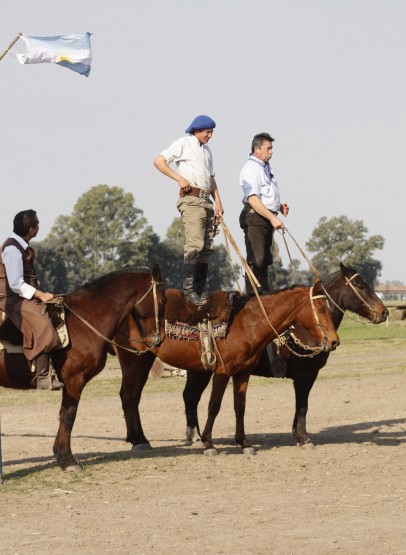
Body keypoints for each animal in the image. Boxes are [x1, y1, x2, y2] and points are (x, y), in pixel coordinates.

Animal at [0, 266, 165, 474]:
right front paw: (67, 460)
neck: (85, 318)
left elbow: (65, 415)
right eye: (162, 301)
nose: (159, 339)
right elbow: (69, 416)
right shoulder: (74, 381)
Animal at [114, 278, 340, 456]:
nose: (334, 341)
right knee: (129, 396)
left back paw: (140, 439)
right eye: (321, 309)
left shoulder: (243, 373)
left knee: (135, 397)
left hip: (146, 361)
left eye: (330, 309)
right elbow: (214, 406)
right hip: (133, 360)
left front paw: (244, 443)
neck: (246, 322)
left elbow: (240, 406)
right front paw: (209, 444)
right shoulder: (223, 372)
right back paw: (139, 442)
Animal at [182, 262, 388, 450]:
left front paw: (297, 434)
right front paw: (303, 438)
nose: (384, 312)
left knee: (190, 396)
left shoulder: (309, 375)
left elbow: (301, 405)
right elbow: (303, 405)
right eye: (360, 285)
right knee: (190, 397)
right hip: (201, 371)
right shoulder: (305, 375)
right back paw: (195, 436)